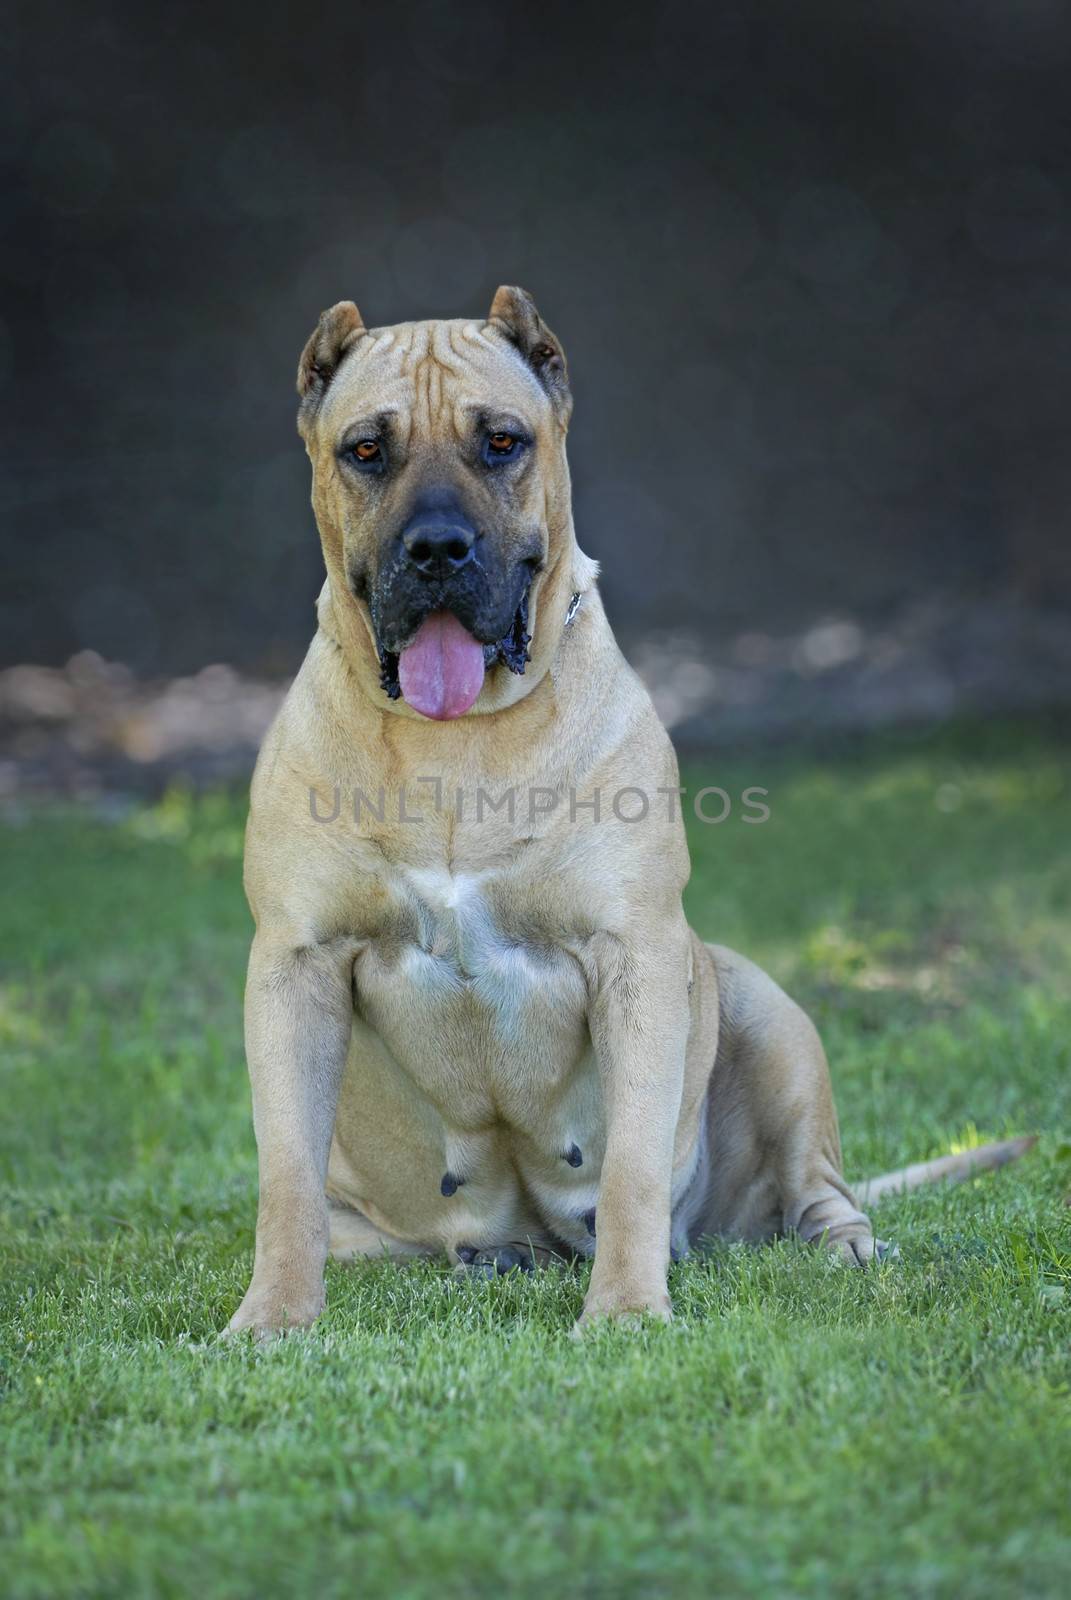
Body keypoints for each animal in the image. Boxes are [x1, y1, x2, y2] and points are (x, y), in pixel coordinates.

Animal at [227, 291, 1037, 1337]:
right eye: (366, 449)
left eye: (501, 441)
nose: (438, 549)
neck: (458, 745)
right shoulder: (295, 966)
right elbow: (285, 1178)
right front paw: (272, 1320)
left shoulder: (637, 957)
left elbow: (633, 1169)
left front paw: (622, 1311)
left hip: (760, 1005)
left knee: (815, 1190)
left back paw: (845, 1249)